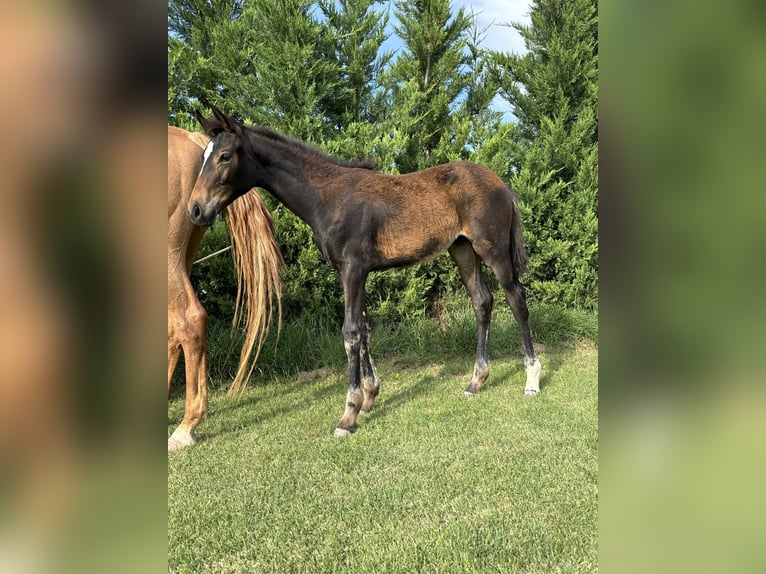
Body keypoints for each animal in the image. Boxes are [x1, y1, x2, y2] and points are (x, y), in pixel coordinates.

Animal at [190, 106, 544, 436]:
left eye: (224, 156)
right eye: (204, 156)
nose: (196, 209)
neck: (327, 196)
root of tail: (501, 184)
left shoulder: (354, 268)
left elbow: (351, 332)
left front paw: (349, 414)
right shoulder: (349, 272)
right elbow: (363, 327)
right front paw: (370, 397)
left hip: (493, 249)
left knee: (517, 300)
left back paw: (531, 379)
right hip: (462, 249)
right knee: (482, 301)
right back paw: (476, 381)